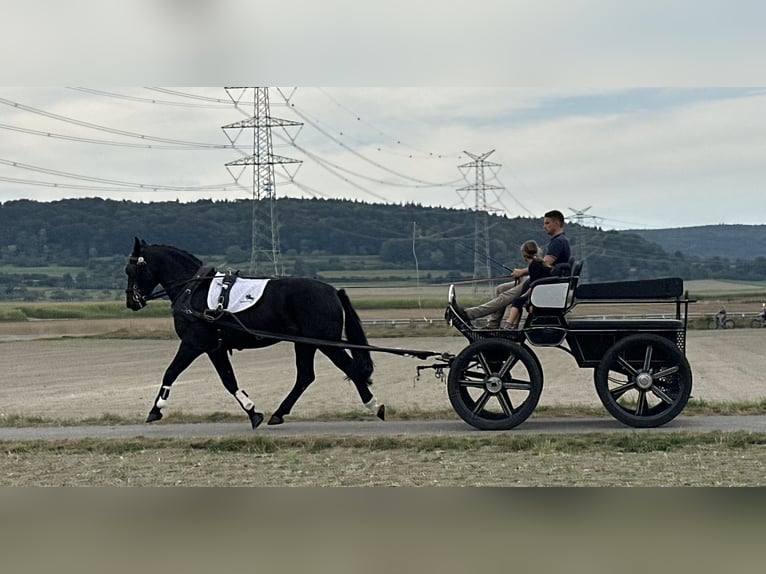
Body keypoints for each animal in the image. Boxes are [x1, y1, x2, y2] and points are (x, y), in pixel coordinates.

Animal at [125, 236, 384, 430]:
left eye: (131, 270)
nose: (131, 302)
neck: (193, 291)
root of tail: (332, 291)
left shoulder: (193, 344)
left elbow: (170, 373)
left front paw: (155, 410)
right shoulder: (214, 348)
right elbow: (228, 380)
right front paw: (253, 412)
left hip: (324, 342)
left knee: (349, 369)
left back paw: (375, 406)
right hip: (305, 343)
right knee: (305, 376)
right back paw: (278, 413)